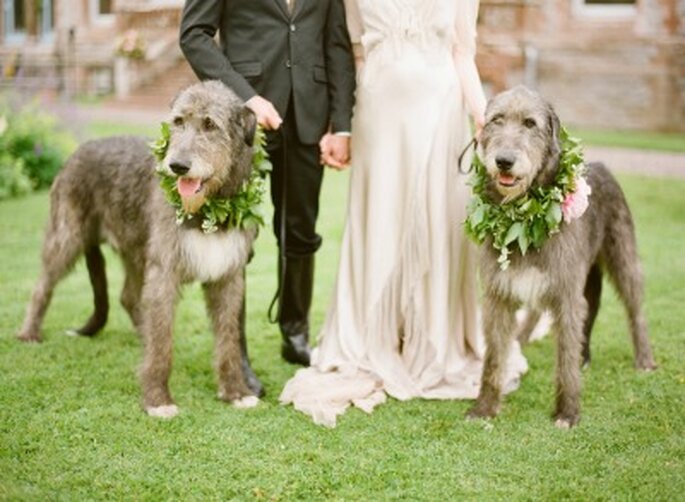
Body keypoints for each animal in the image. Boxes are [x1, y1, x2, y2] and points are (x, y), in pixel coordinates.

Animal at [18, 80, 260, 418]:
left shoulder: (228, 276)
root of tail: (78, 149)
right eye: (178, 121)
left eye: (210, 125)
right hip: (66, 237)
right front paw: (158, 398)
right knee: (42, 285)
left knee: (129, 297)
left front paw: (235, 391)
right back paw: (29, 332)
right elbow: (162, 344)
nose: (177, 166)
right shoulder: (164, 272)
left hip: (135, 250)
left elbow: (228, 338)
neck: (207, 209)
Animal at [468, 85, 656, 428]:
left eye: (530, 123)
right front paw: (485, 407)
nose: (504, 161)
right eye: (496, 120)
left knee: (635, 310)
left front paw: (567, 412)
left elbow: (565, 355)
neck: (522, 217)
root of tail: (603, 165)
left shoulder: (567, 294)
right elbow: (493, 357)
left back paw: (644, 359)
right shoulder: (498, 296)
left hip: (623, 256)